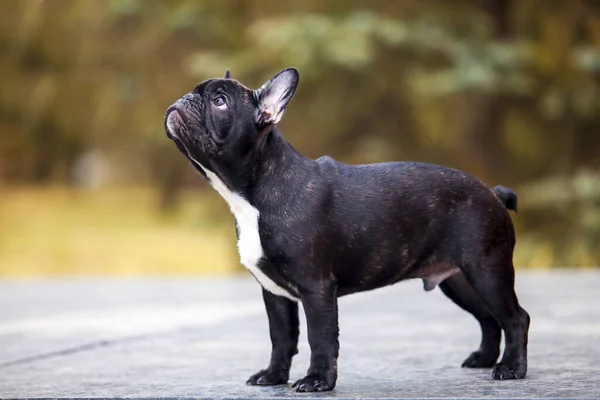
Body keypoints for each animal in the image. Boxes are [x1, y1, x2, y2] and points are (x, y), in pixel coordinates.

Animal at [164, 68, 528, 390]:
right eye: (195, 92)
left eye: (219, 101)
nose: (184, 98)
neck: (254, 192)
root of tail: (492, 192)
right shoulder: (274, 293)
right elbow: (281, 337)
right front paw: (273, 376)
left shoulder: (316, 288)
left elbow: (320, 338)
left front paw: (317, 381)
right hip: (460, 281)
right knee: (488, 318)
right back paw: (484, 359)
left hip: (485, 269)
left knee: (514, 317)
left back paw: (510, 368)